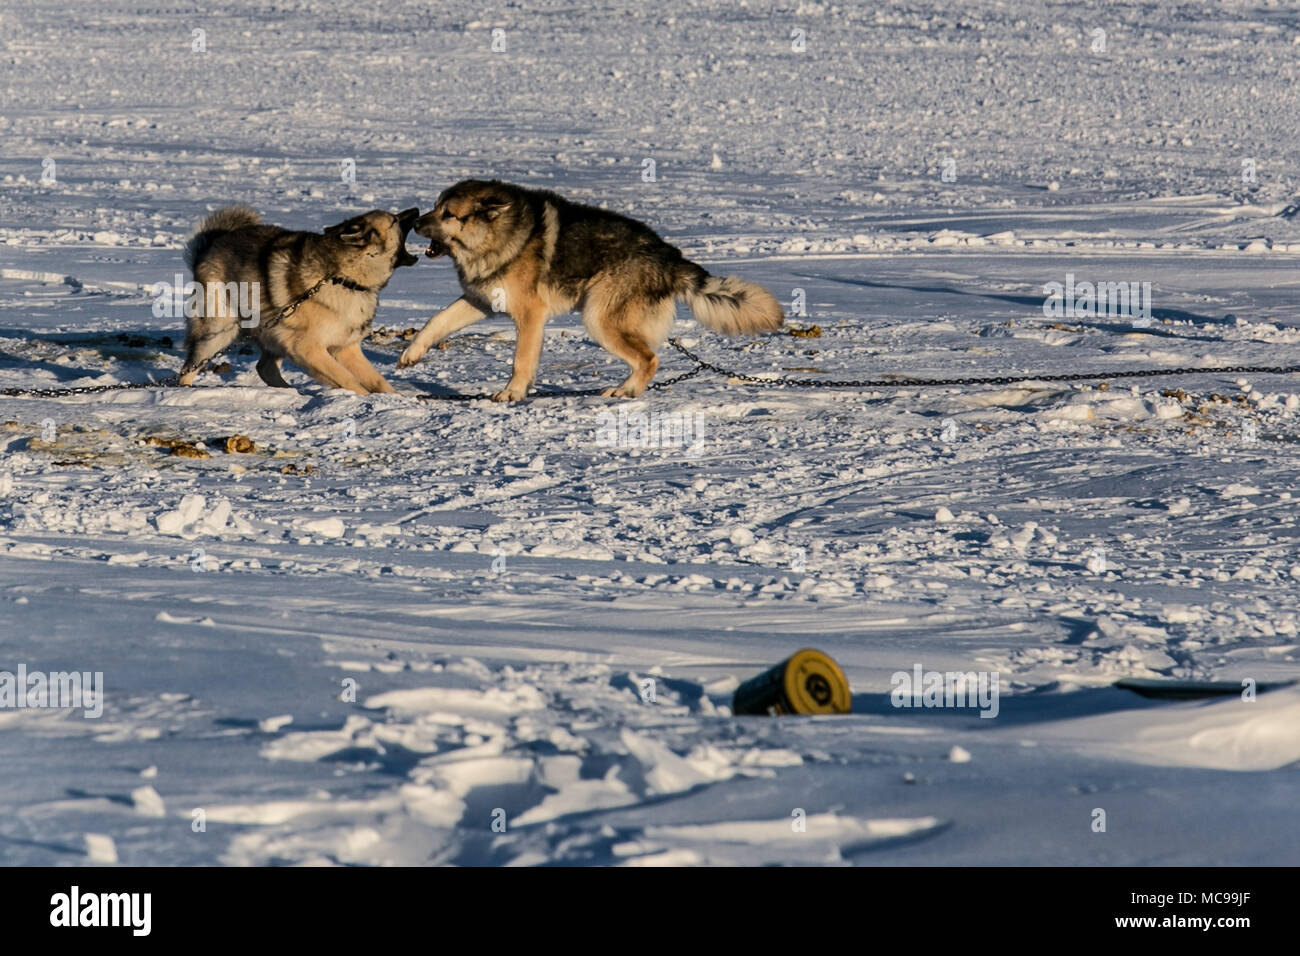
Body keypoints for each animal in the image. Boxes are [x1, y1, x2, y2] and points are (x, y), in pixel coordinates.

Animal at [178, 205, 416, 392]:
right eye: (394, 220)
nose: (415, 210)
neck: (342, 278)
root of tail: (207, 249)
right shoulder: (308, 348)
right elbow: (347, 379)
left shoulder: (346, 348)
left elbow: (377, 380)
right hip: (218, 333)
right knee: (188, 369)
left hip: (273, 331)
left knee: (265, 368)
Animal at [395, 179, 780, 400]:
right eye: (436, 207)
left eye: (448, 214)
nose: (414, 223)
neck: (499, 236)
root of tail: (668, 254)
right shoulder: (482, 300)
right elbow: (435, 321)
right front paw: (411, 354)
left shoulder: (530, 315)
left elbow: (521, 361)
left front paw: (513, 393)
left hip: (599, 318)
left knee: (649, 359)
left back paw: (626, 391)